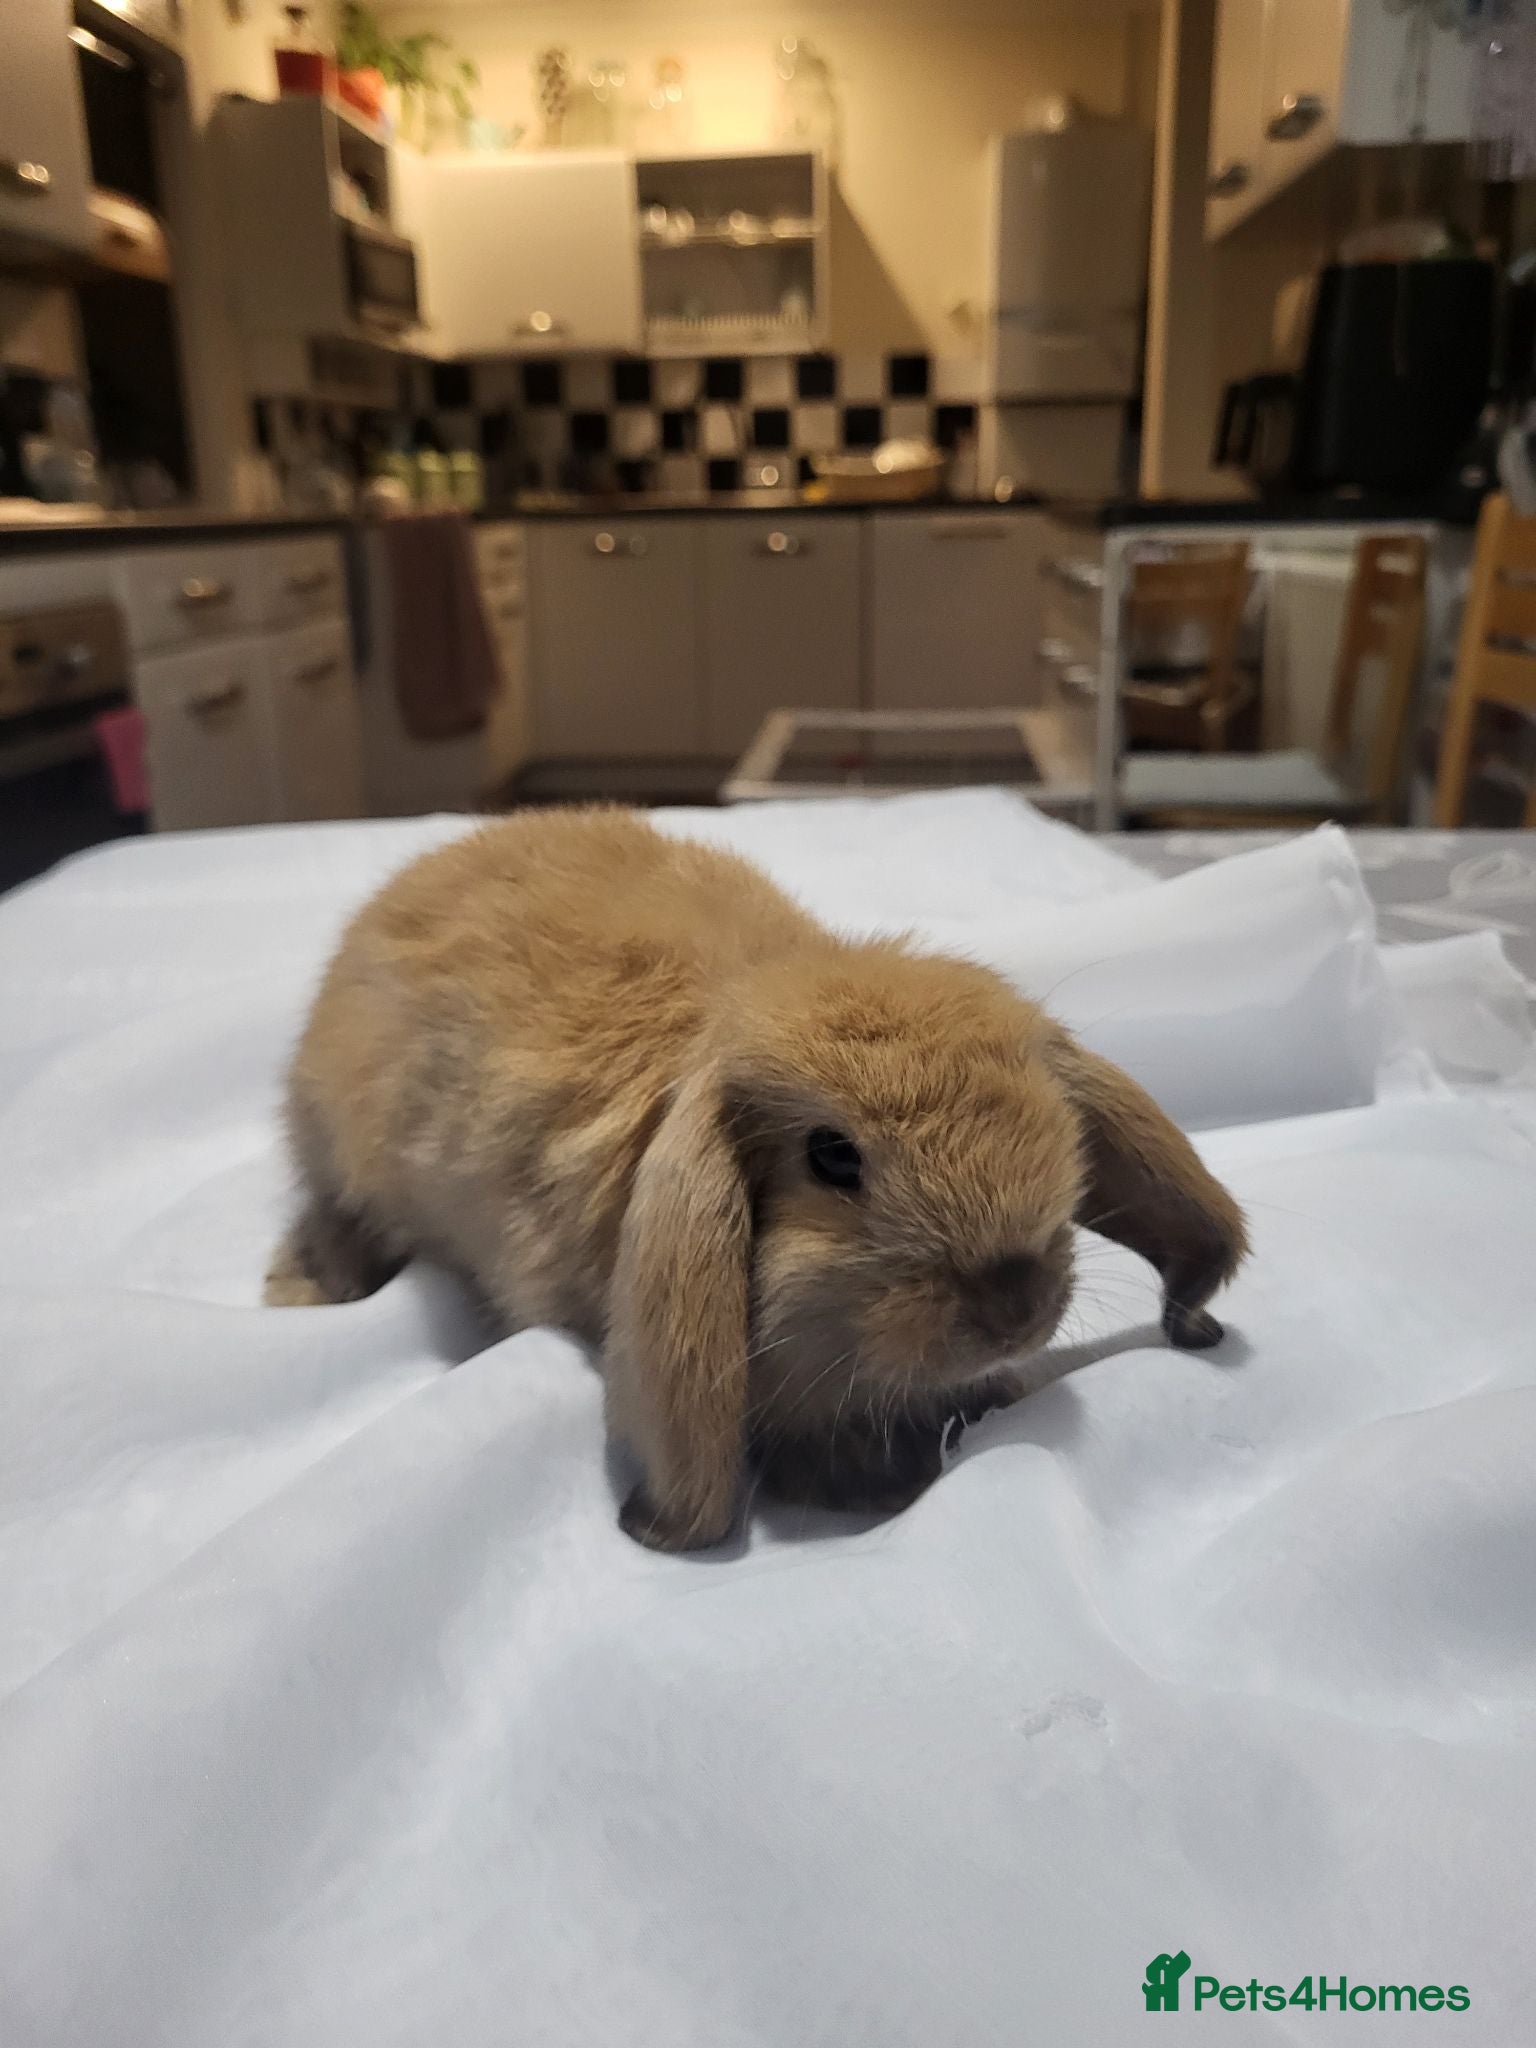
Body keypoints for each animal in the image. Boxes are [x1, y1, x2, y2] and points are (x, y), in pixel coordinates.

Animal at [266, 806, 1247, 1552]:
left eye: (1053, 1118)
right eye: (833, 1157)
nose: (1015, 1303)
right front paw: (869, 1489)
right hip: (344, 1161)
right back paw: (304, 1288)